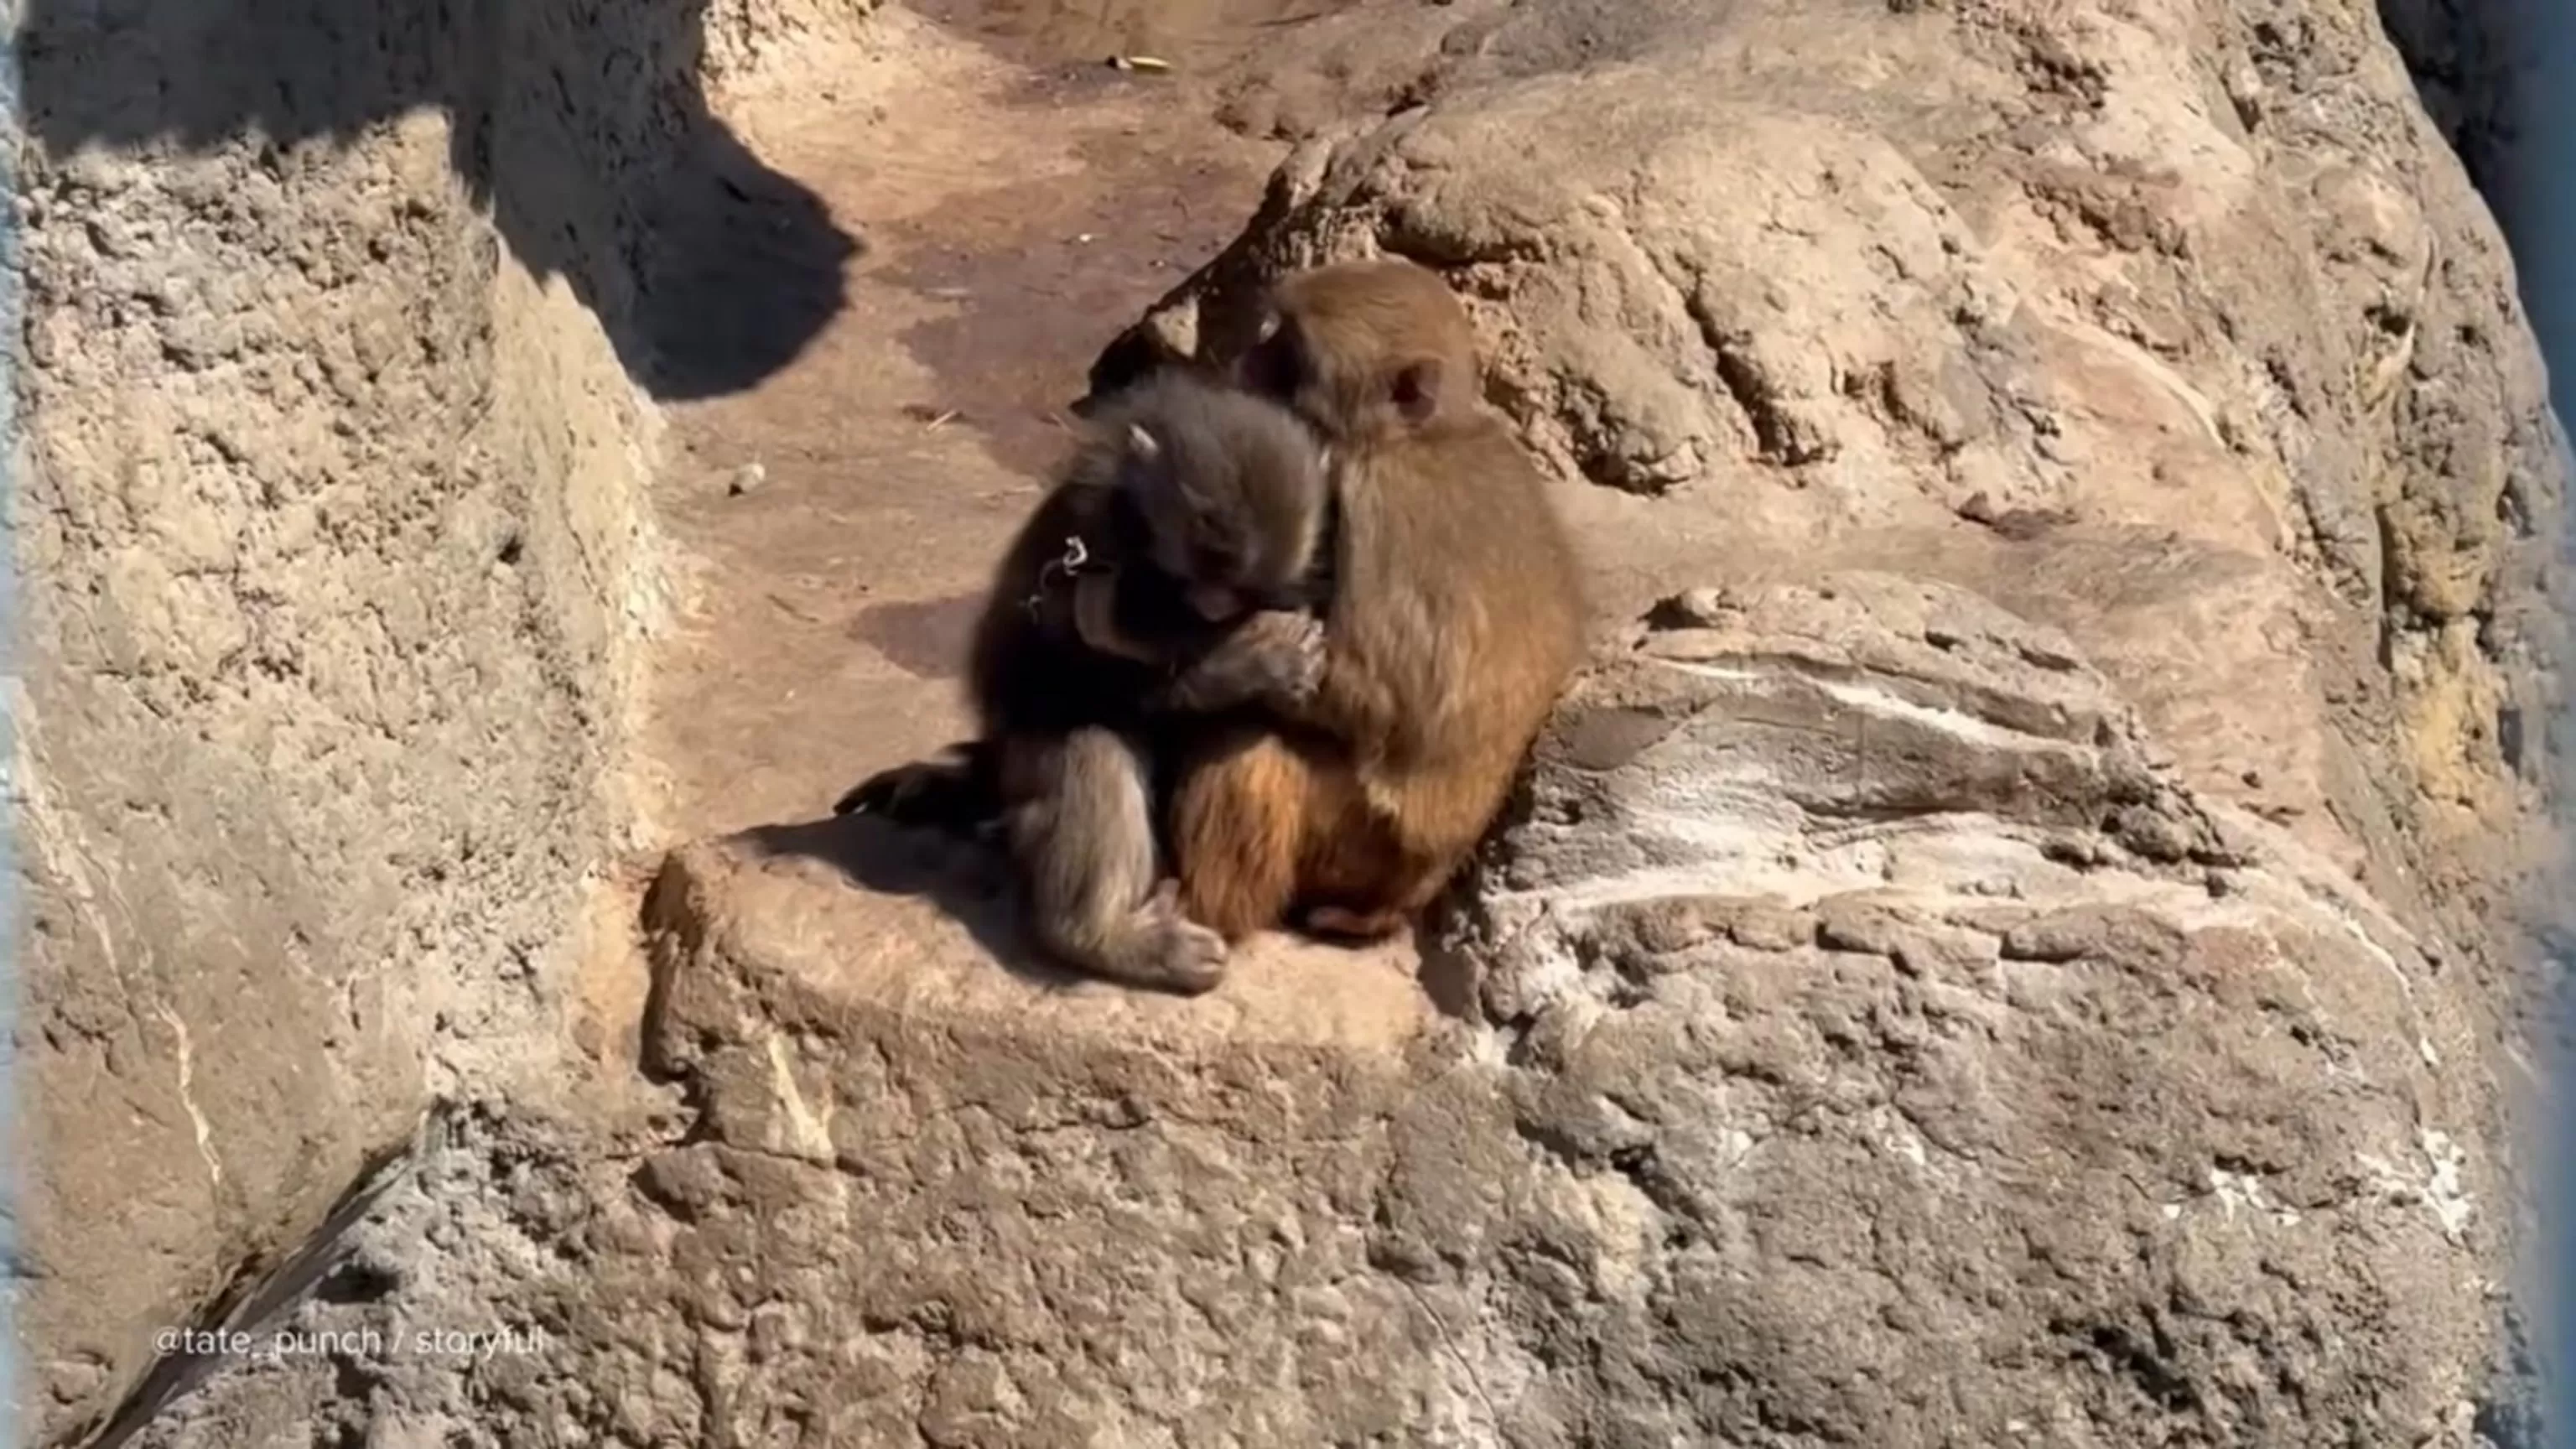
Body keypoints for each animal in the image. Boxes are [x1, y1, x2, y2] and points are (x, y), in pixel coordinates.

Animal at [837, 369, 1342, 993]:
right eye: (1204, 561)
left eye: (1244, 589)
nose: (1214, 607)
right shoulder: (1085, 549)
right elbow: (1050, 675)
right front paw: (1250, 665)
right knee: (1090, 739)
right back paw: (1098, 936)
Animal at [1163, 256, 1588, 946]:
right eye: (1274, 336)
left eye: (1290, 354)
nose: (1247, 360)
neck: (1419, 439)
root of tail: (1406, 896)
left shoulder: (1371, 502)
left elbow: (1382, 704)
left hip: (1356, 840)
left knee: (1254, 750)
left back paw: (1204, 916)